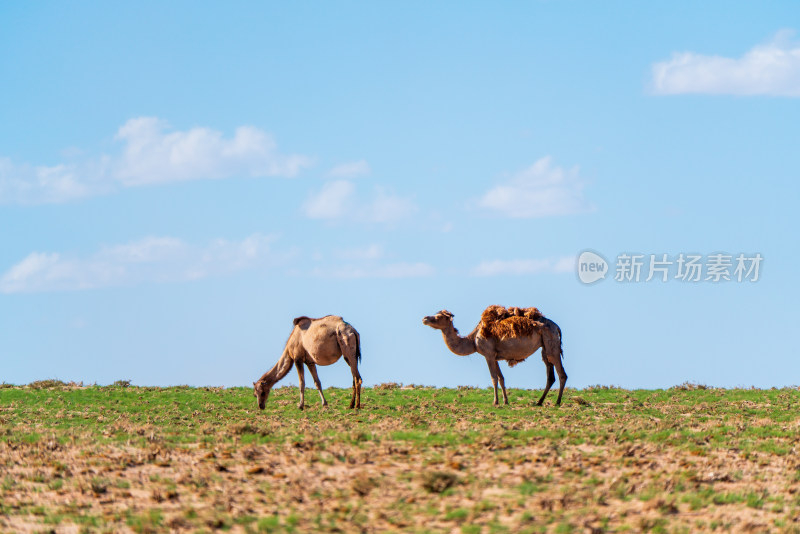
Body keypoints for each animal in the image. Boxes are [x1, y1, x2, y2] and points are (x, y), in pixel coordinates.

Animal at [422, 308, 564, 408]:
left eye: (439, 317)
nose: (425, 318)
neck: (473, 340)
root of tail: (557, 326)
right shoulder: (495, 356)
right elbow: (501, 378)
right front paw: (505, 401)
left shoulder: (488, 354)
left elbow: (494, 378)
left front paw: (495, 402)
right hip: (544, 346)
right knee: (550, 375)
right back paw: (539, 402)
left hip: (551, 343)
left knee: (561, 374)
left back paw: (557, 402)